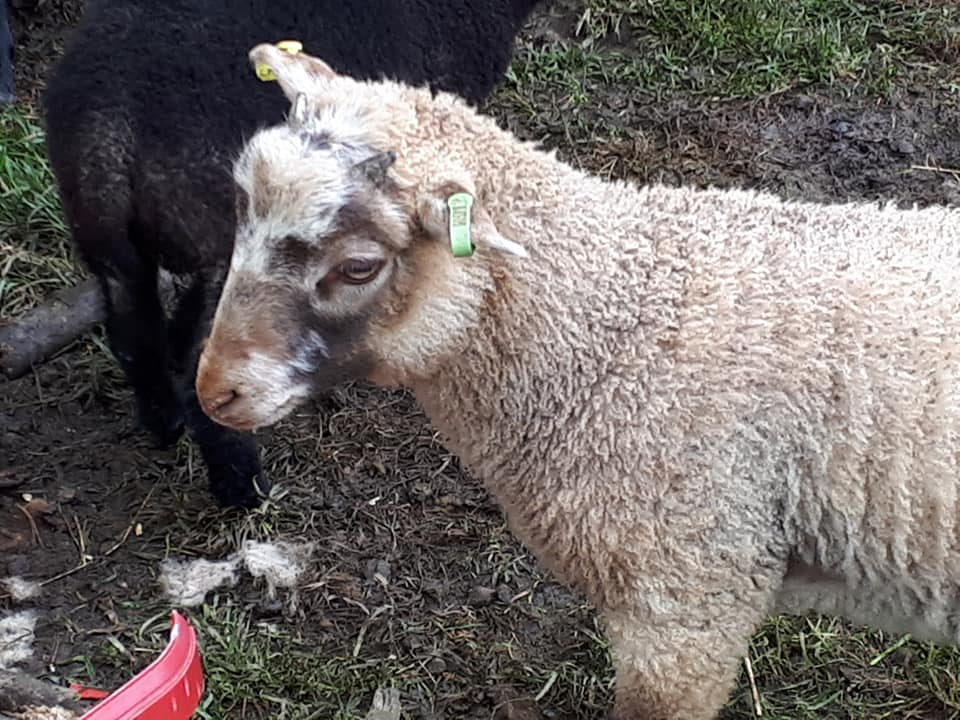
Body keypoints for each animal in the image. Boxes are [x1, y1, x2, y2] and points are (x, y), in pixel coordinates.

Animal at [43, 0, 540, 510]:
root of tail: (111, 129)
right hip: (229, 238)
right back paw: (240, 484)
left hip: (106, 238)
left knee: (131, 332)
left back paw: (163, 420)